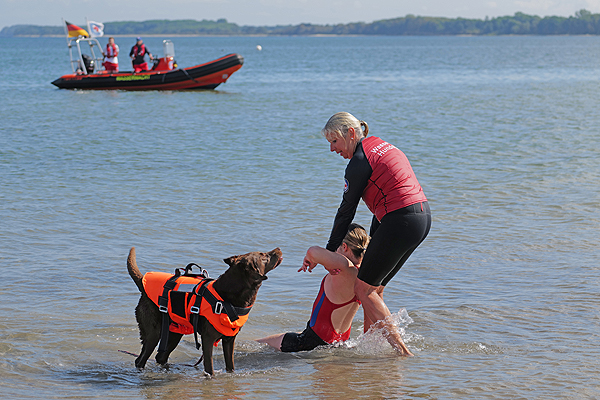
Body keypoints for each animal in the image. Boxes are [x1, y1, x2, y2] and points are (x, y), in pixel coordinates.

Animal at [126, 247, 282, 376]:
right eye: (263, 255)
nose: (278, 248)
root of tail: (143, 281)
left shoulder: (229, 339)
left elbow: (230, 366)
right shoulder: (208, 339)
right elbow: (209, 368)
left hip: (175, 332)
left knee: (160, 357)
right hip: (154, 332)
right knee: (141, 359)